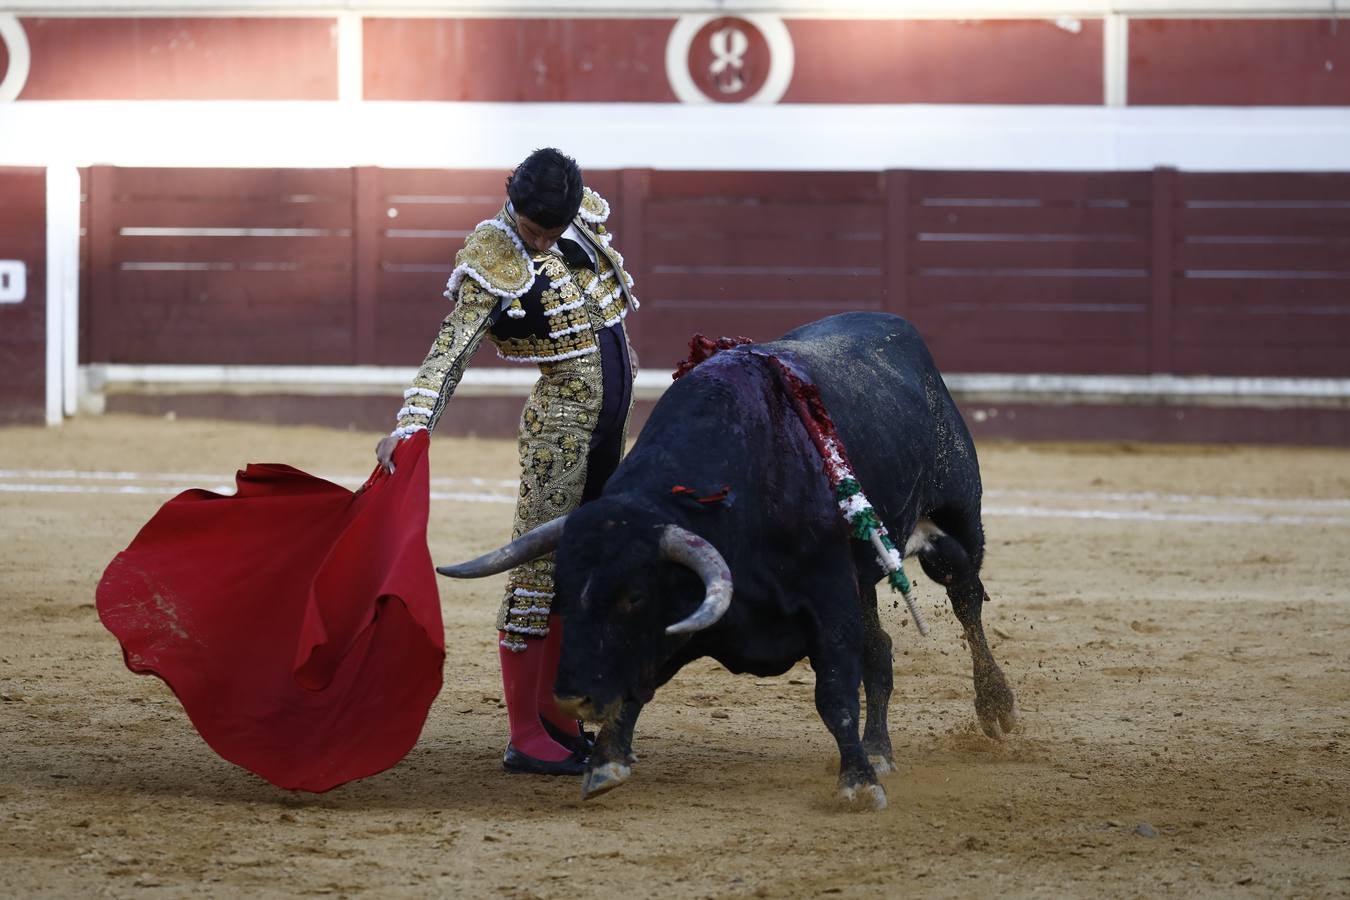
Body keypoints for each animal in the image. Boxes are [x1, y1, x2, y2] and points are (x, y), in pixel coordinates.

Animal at [437, 311, 1015, 809]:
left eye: (634, 597)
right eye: (561, 591)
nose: (573, 697)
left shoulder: (826, 598)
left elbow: (834, 692)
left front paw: (857, 784)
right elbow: (637, 685)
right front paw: (605, 762)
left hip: (958, 520)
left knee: (966, 599)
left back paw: (997, 709)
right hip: (867, 573)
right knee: (882, 651)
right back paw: (880, 748)